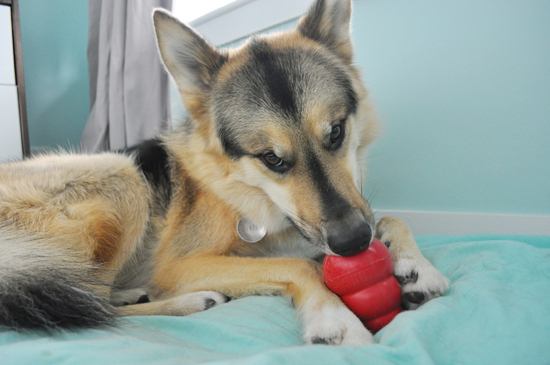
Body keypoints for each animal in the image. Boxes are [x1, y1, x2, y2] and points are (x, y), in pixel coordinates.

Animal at [0, 0, 448, 344]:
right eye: (272, 159)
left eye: (336, 132)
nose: (354, 244)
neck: (245, 191)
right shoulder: (180, 265)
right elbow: (299, 265)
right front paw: (334, 316)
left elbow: (390, 218)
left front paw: (416, 265)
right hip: (123, 176)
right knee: (89, 304)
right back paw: (186, 301)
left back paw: (134, 294)